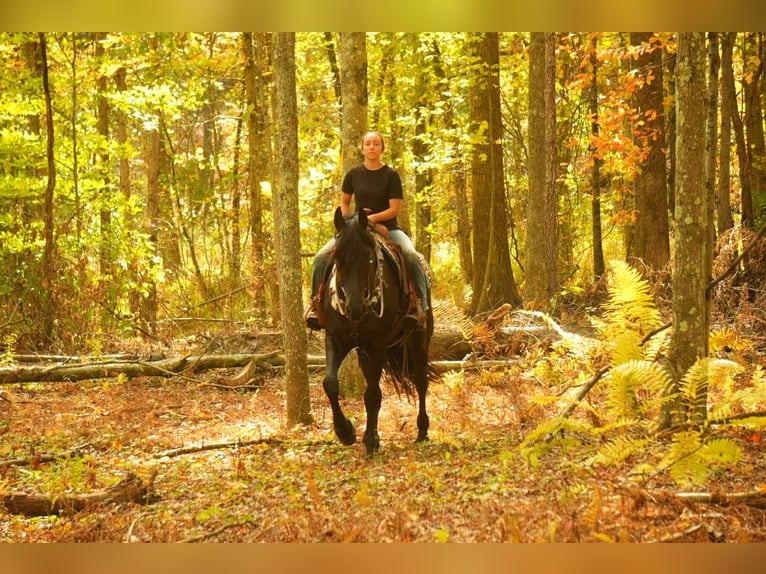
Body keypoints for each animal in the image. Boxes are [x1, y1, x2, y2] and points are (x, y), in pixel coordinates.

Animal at [320, 207, 435, 455]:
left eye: (369, 258)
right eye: (338, 259)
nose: (354, 307)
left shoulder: (378, 344)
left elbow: (373, 395)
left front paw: (371, 440)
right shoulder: (335, 339)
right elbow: (330, 383)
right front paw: (345, 432)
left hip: (418, 338)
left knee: (420, 380)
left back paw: (422, 431)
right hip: (363, 352)